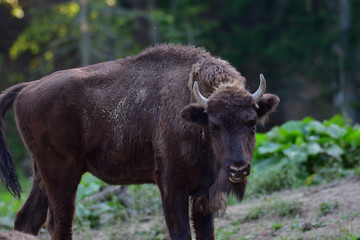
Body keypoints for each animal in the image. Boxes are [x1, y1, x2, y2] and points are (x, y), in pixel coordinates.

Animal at [0, 44, 278, 239]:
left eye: (252, 123)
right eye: (214, 126)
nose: (238, 169)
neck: (195, 113)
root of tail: (27, 88)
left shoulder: (203, 193)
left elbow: (205, 233)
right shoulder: (172, 187)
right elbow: (181, 233)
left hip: (42, 175)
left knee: (28, 220)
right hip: (62, 175)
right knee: (59, 223)